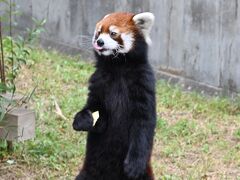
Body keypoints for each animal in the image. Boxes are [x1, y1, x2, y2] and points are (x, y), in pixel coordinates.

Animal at [72, 11, 156, 179]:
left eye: (113, 33)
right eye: (98, 32)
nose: (99, 42)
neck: (118, 67)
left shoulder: (144, 83)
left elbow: (144, 124)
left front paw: (134, 164)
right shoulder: (99, 81)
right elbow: (94, 107)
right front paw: (83, 119)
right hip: (89, 171)